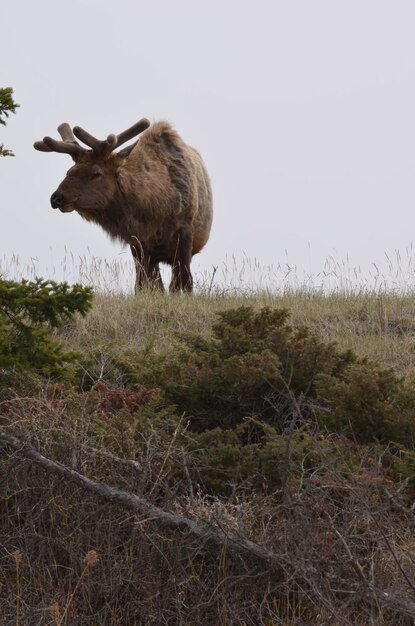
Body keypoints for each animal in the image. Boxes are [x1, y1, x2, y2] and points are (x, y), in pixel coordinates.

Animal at [33, 118, 213, 292]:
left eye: (96, 173)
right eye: (69, 171)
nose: (56, 198)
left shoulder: (184, 232)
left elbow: (183, 285)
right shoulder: (138, 243)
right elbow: (144, 287)